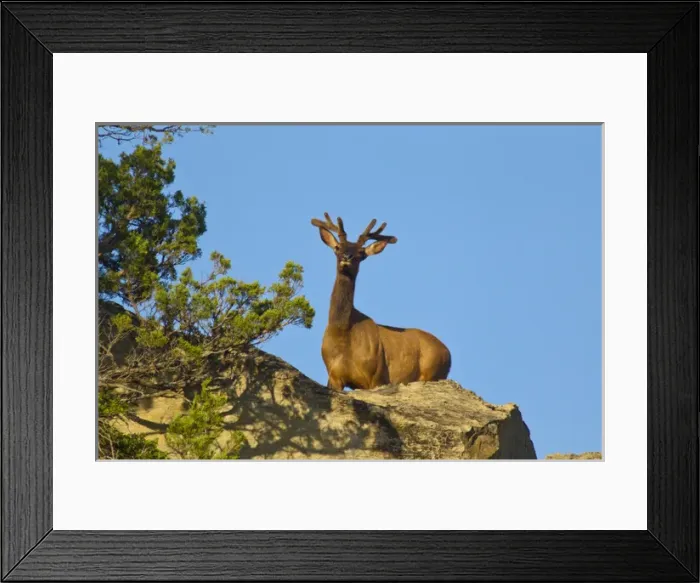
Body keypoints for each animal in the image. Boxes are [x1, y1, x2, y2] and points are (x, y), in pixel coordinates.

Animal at [311, 213, 451, 392]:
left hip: (434, 372)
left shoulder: (376, 375)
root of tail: (448, 353)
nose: (346, 257)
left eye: (360, 253)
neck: (343, 333)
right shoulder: (334, 376)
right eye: (338, 247)